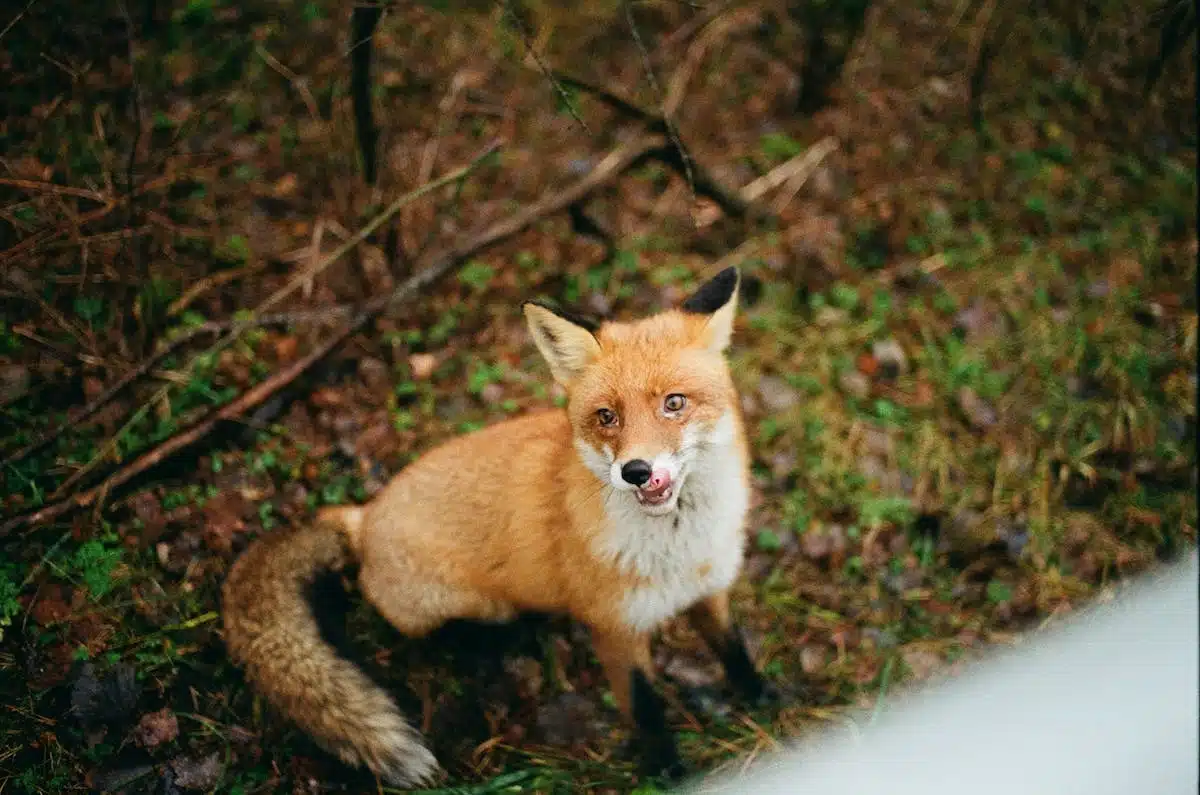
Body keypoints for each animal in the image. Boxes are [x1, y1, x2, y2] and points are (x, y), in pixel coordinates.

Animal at [219, 264, 772, 787]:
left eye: (674, 403)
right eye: (606, 416)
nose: (635, 470)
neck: (678, 550)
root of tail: (363, 515)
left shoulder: (709, 590)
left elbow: (734, 649)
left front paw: (765, 698)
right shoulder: (616, 629)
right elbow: (645, 709)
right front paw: (668, 771)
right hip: (468, 604)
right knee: (446, 635)